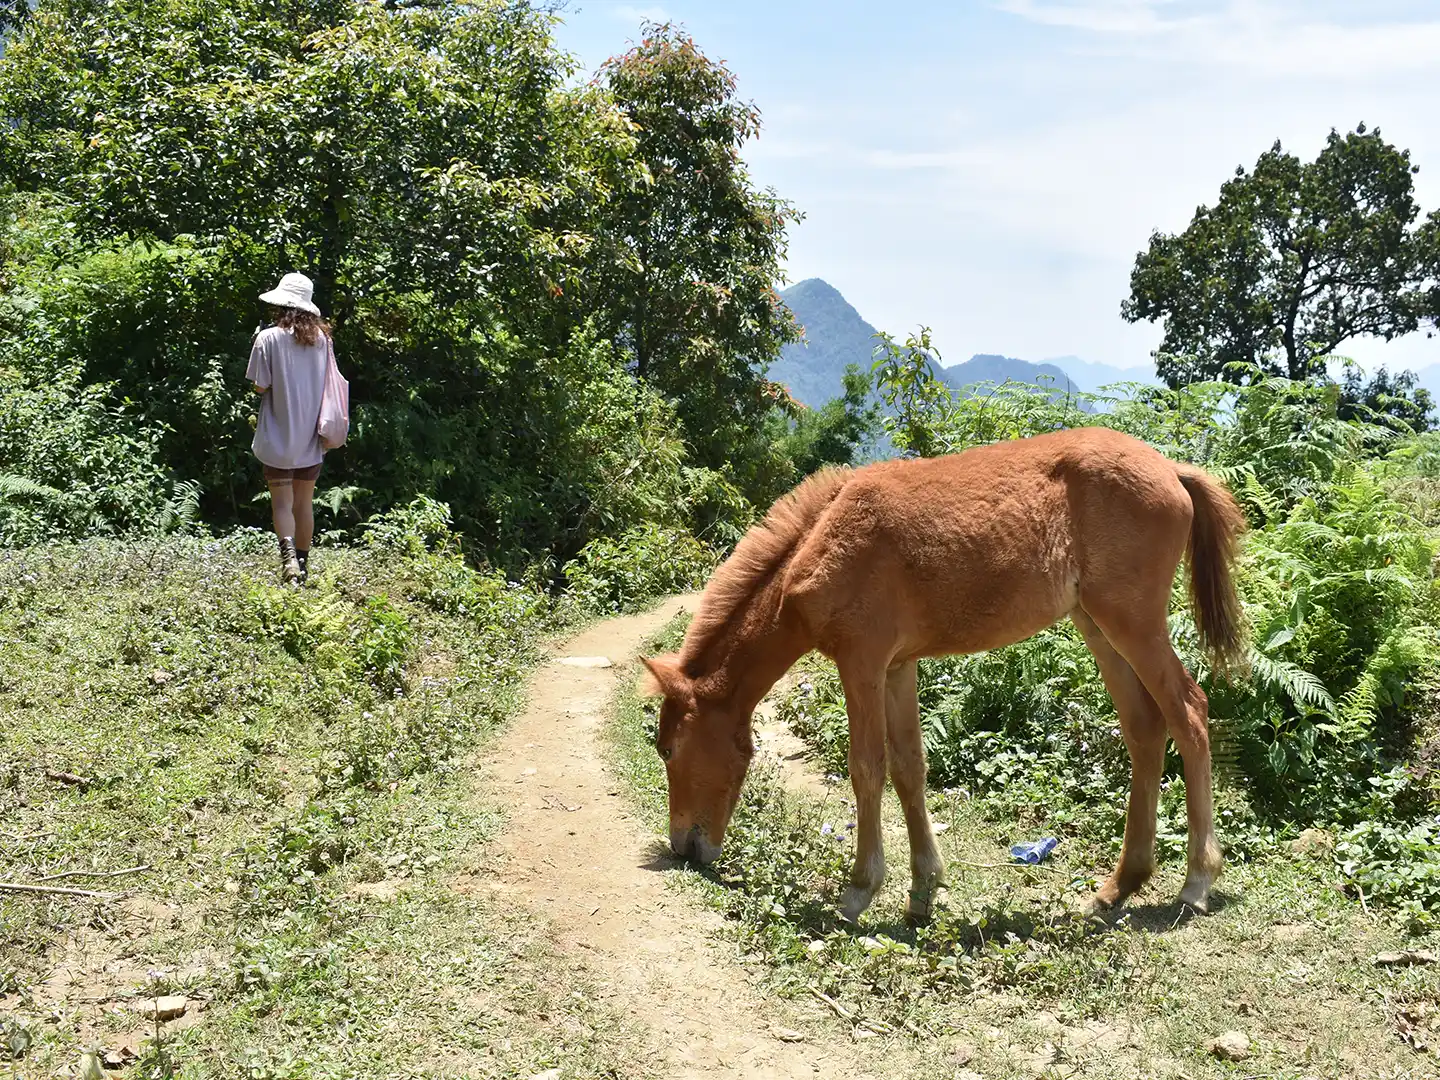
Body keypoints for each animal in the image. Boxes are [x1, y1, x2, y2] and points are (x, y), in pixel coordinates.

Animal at [642, 426, 1249, 927]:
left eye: (668, 749)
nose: (684, 848)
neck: (822, 543)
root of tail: (1172, 469)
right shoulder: (897, 667)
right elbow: (910, 768)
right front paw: (923, 890)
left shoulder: (861, 662)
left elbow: (866, 769)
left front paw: (859, 891)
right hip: (1098, 626)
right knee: (1145, 730)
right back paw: (1117, 887)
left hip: (1133, 623)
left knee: (1190, 713)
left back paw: (1197, 881)